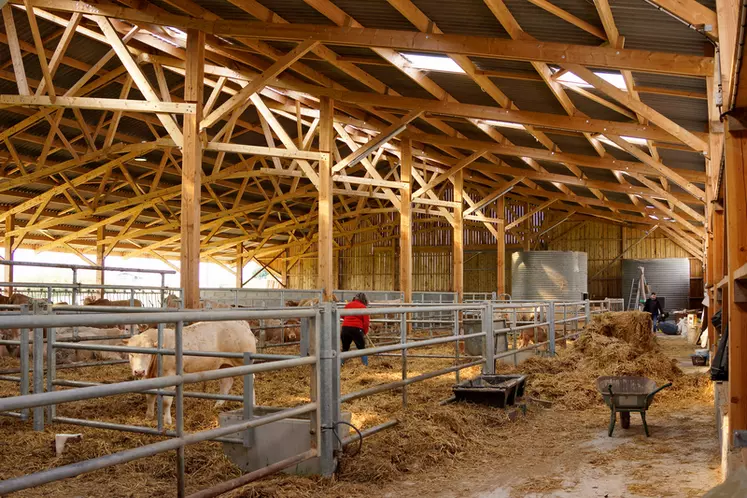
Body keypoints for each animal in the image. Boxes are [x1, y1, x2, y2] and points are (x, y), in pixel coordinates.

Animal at [124, 320, 258, 424]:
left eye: (147, 354)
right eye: (131, 354)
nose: (139, 372)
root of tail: (242, 323)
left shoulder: (170, 375)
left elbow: (167, 401)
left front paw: (167, 421)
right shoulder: (150, 378)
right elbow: (150, 397)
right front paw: (149, 416)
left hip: (242, 363)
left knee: (251, 379)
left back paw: (253, 405)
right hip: (224, 365)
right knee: (226, 382)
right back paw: (218, 405)